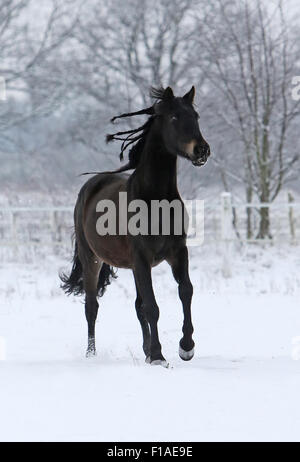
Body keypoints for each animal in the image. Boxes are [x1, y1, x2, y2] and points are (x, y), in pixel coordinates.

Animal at [60, 85, 211, 368]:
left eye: (196, 116)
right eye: (174, 117)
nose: (202, 151)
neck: (154, 200)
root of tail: (90, 186)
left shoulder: (177, 252)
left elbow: (185, 291)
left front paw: (185, 348)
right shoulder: (142, 256)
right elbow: (152, 306)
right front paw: (159, 356)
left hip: (131, 265)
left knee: (137, 305)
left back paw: (145, 350)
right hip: (92, 258)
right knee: (91, 307)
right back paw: (92, 354)